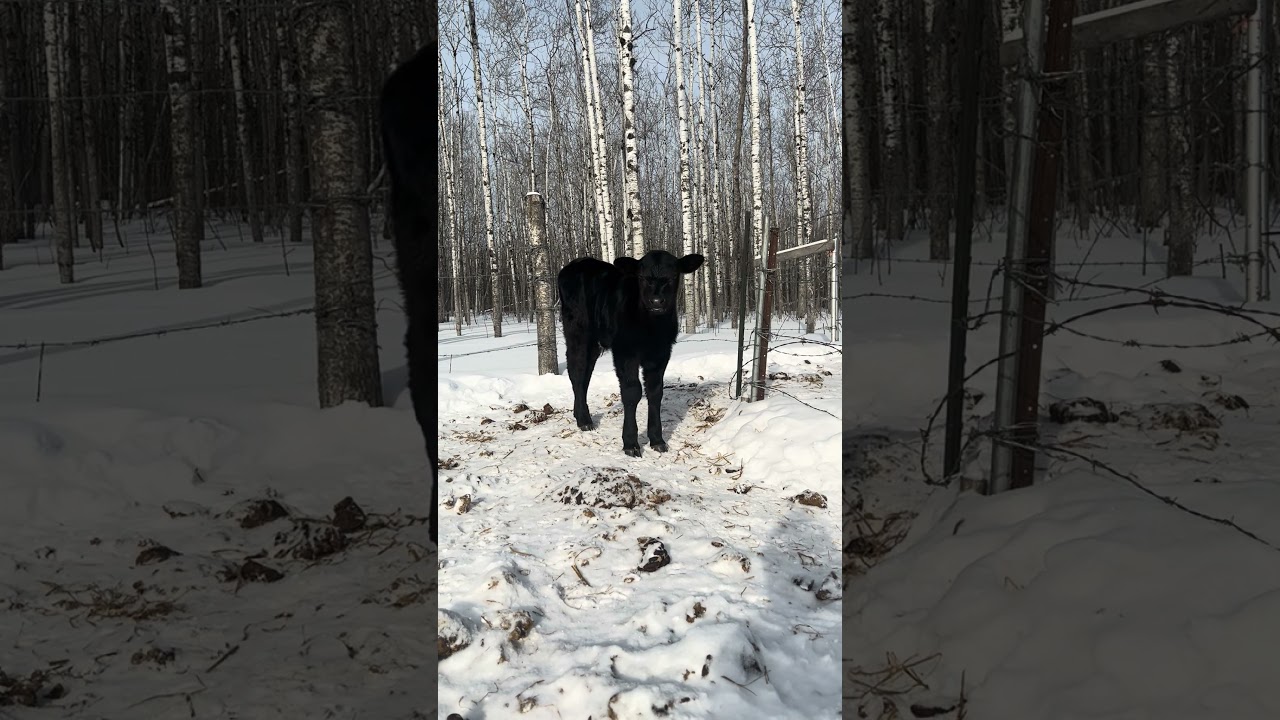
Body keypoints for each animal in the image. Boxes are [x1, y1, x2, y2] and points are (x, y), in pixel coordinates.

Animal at [557, 250, 705, 457]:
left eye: (673, 276)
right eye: (642, 277)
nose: (657, 301)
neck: (652, 328)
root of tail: (577, 262)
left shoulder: (661, 353)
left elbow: (655, 392)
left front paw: (657, 440)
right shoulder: (625, 351)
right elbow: (632, 391)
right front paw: (630, 443)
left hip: (594, 342)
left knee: (586, 373)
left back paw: (580, 414)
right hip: (577, 330)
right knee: (576, 370)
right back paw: (584, 421)